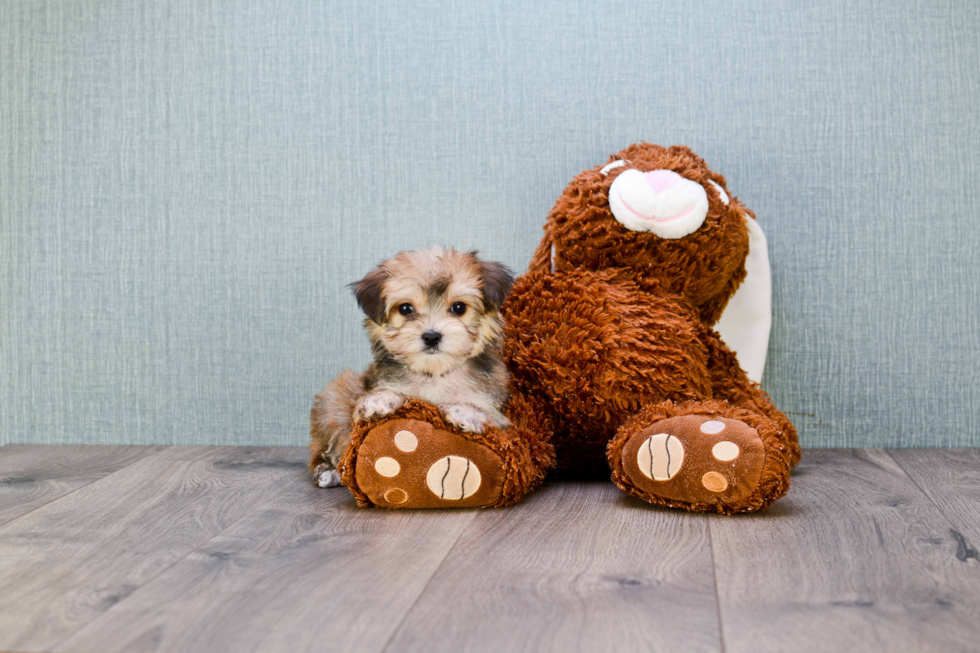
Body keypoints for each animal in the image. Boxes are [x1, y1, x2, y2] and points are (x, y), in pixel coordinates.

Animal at [310, 247, 516, 486]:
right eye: (406, 309)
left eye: (458, 307)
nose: (431, 336)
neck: (434, 373)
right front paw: (380, 400)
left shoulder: (499, 416)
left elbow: (486, 412)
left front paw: (464, 412)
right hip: (333, 400)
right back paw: (328, 471)